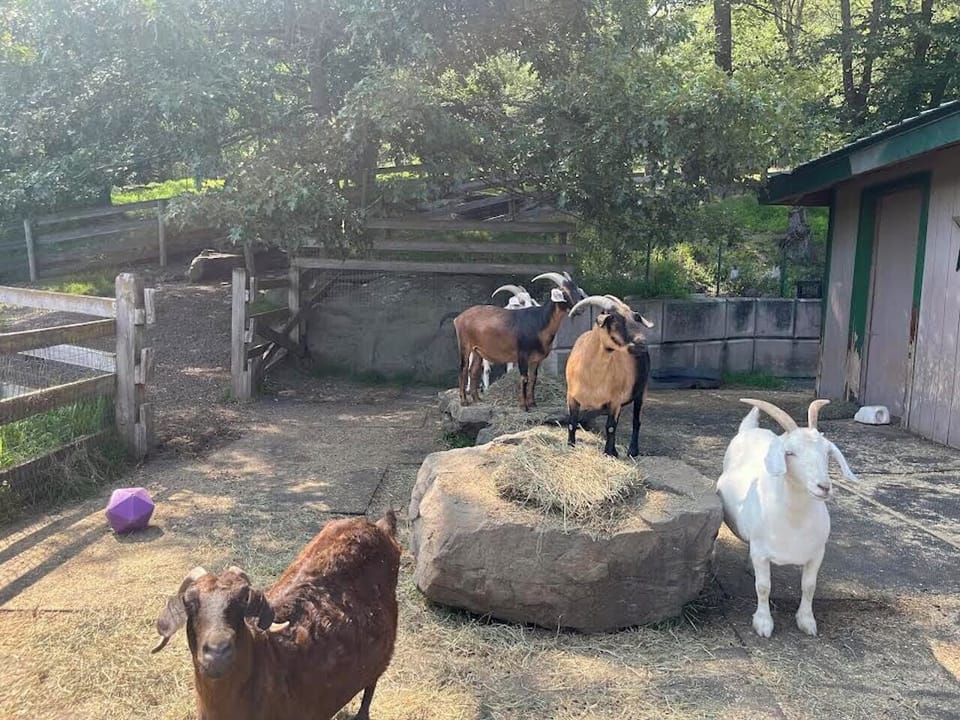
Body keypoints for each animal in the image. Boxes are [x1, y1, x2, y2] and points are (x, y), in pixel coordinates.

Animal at [151, 512, 401, 720]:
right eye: (190, 603)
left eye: (243, 603)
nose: (218, 650)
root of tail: (380, 526)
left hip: (384, 653)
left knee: (371, 686)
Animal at [450, 272, 584, 410]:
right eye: (564, 293)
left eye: (576, 290)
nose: (580, 309)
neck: (538, 321)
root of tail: (459, 318)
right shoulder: (522, 355)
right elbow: (524, 378)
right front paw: (524, 406)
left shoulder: (536, 359)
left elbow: (533, 378)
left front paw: (533, 403)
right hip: (465, 345)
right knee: (463, 368)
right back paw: (464, 401)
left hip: (477, 350)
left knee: (473, 370)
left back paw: (477, 399)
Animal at [565, 294, 654, 457]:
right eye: (614, 319)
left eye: (634, 318)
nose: (642, 343)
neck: (592, 377)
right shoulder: (571, 397)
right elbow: (572, 423)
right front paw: (570, 445)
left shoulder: (615, 401)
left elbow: (610, 427)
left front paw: (609, 453)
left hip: (641, 391)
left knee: (636, 421)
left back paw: (633, 451)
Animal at [717, 399, 858, 638]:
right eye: (790, 453)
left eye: (827, 452)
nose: (824, 487)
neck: (794, 520)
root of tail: (749, 429)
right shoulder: (761, 552)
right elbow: (763, 587)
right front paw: (763, 623)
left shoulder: (817, 553)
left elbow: (809, 586)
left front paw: (806, 621)